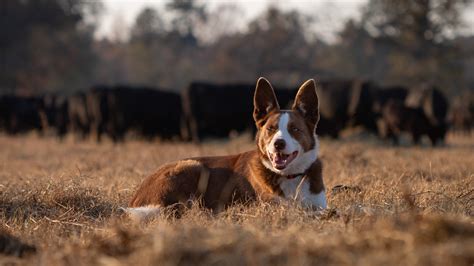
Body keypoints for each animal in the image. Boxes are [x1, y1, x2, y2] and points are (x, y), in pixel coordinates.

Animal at [126, 77, 326, 220]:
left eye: (295, 129)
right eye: (271, 129)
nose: (279, 143)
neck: (290, 176)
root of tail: (136, 198)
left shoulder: (318, 205)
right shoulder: (272, 206)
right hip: (192, 166)